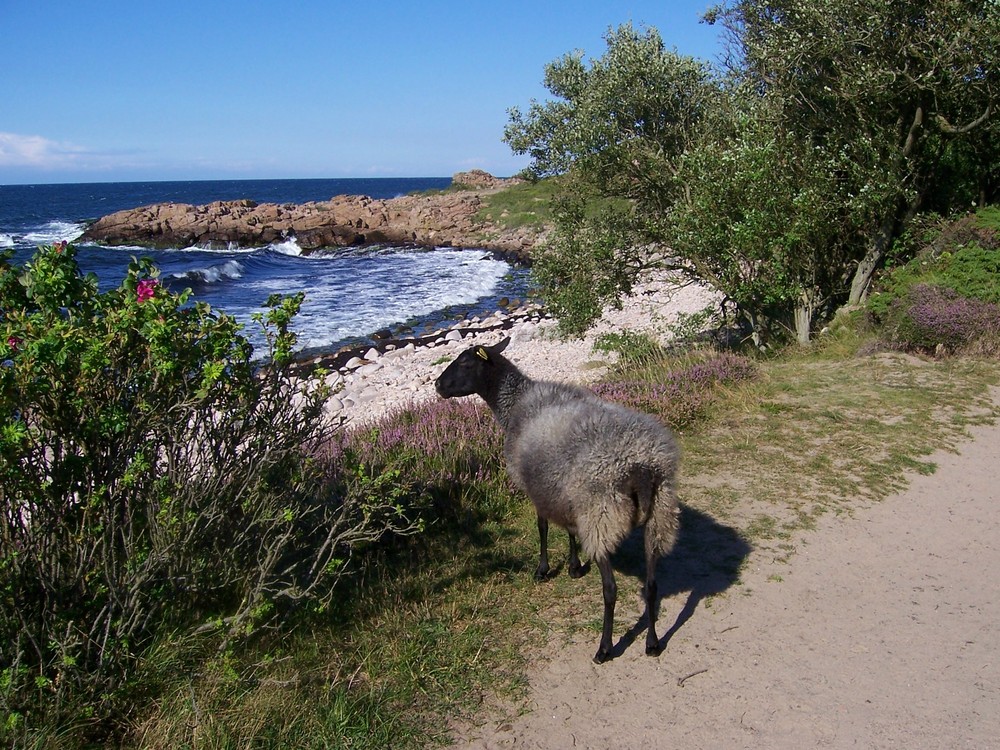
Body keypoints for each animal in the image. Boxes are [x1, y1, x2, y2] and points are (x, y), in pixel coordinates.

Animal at [434, 340, 684, 664]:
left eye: (465, 362)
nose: (438, 385)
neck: (514, 402)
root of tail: (642, 465)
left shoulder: (534, 486)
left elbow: (542, 526)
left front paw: (543, 569)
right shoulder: (562, 489)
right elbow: (568, 528)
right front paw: (575, 565)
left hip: (601, 512)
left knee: (610, 589)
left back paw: (604, 648)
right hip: (659, 513)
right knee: (652, 585)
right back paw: (652, 642)